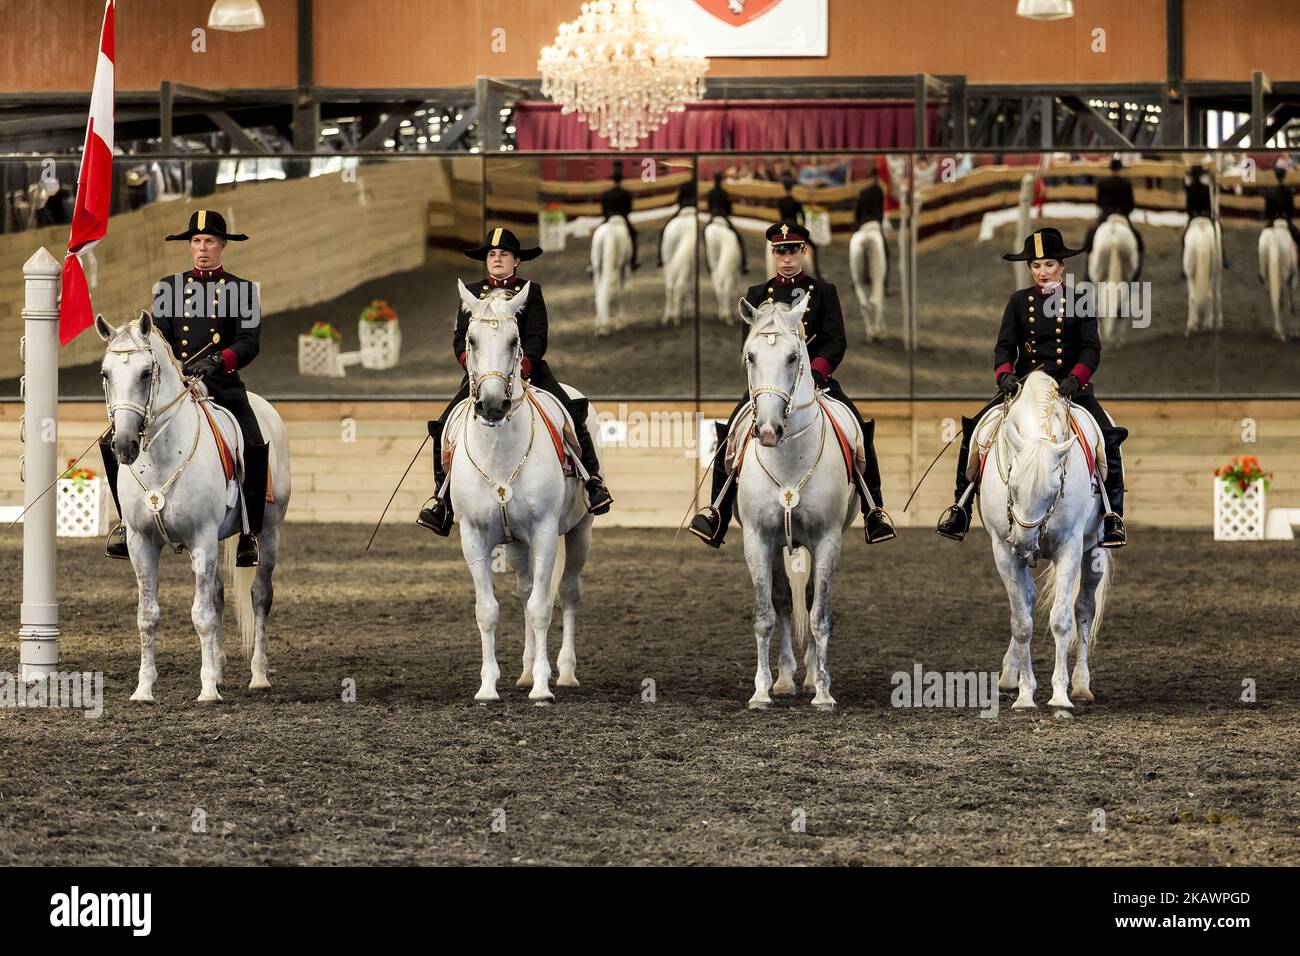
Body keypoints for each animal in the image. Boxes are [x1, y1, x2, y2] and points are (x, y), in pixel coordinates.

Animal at [94, 314, 293, 702]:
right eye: (106, 373)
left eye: (145, 373)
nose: (124, 445)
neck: (159, 458)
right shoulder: (141, 543)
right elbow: (148, 615)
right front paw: (144, 688)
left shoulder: (201, 538)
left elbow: (201, 615)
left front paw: (207, 690)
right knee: (217, 596)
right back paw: (220, 669)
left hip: (269, 531)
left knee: (259, 596)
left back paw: (258, 675)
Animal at [444, 277, 592, 702]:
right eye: (471, 339)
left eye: (514, 340)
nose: (493, 405)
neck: (500, 454)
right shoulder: (474, 536)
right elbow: (488, 610)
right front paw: (487, 687)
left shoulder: (543, 532)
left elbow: (543, 608)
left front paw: (543, 688)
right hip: (516, 543)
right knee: (525, 593)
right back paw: (525, 672)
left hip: (579, 531)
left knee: (567, 594)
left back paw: (564, 673)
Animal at [738, 299, 857, 712]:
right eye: (751, 356)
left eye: (793, 357)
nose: (768, 430)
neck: (789, 461)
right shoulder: (758, 540)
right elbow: (765, 614)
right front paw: (760, 692)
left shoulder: (827, 540)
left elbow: (819, 615)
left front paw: (823, 692)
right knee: (785, 602)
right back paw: (787, 679)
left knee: (805, 599)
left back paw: (807, 678)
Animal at [977, 369, 1118, 712]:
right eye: (1012, 484)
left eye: (1055, 490)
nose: (1025, 543)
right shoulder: (1003, 551)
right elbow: (1022, 623)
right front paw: (1025, 695)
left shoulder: (1070, 548)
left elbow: (1062, 621)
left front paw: (1059, 696)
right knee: (1026, 602)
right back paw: (1009, 677)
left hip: (1093, 550)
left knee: (1084, 609)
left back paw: (1080, 685)